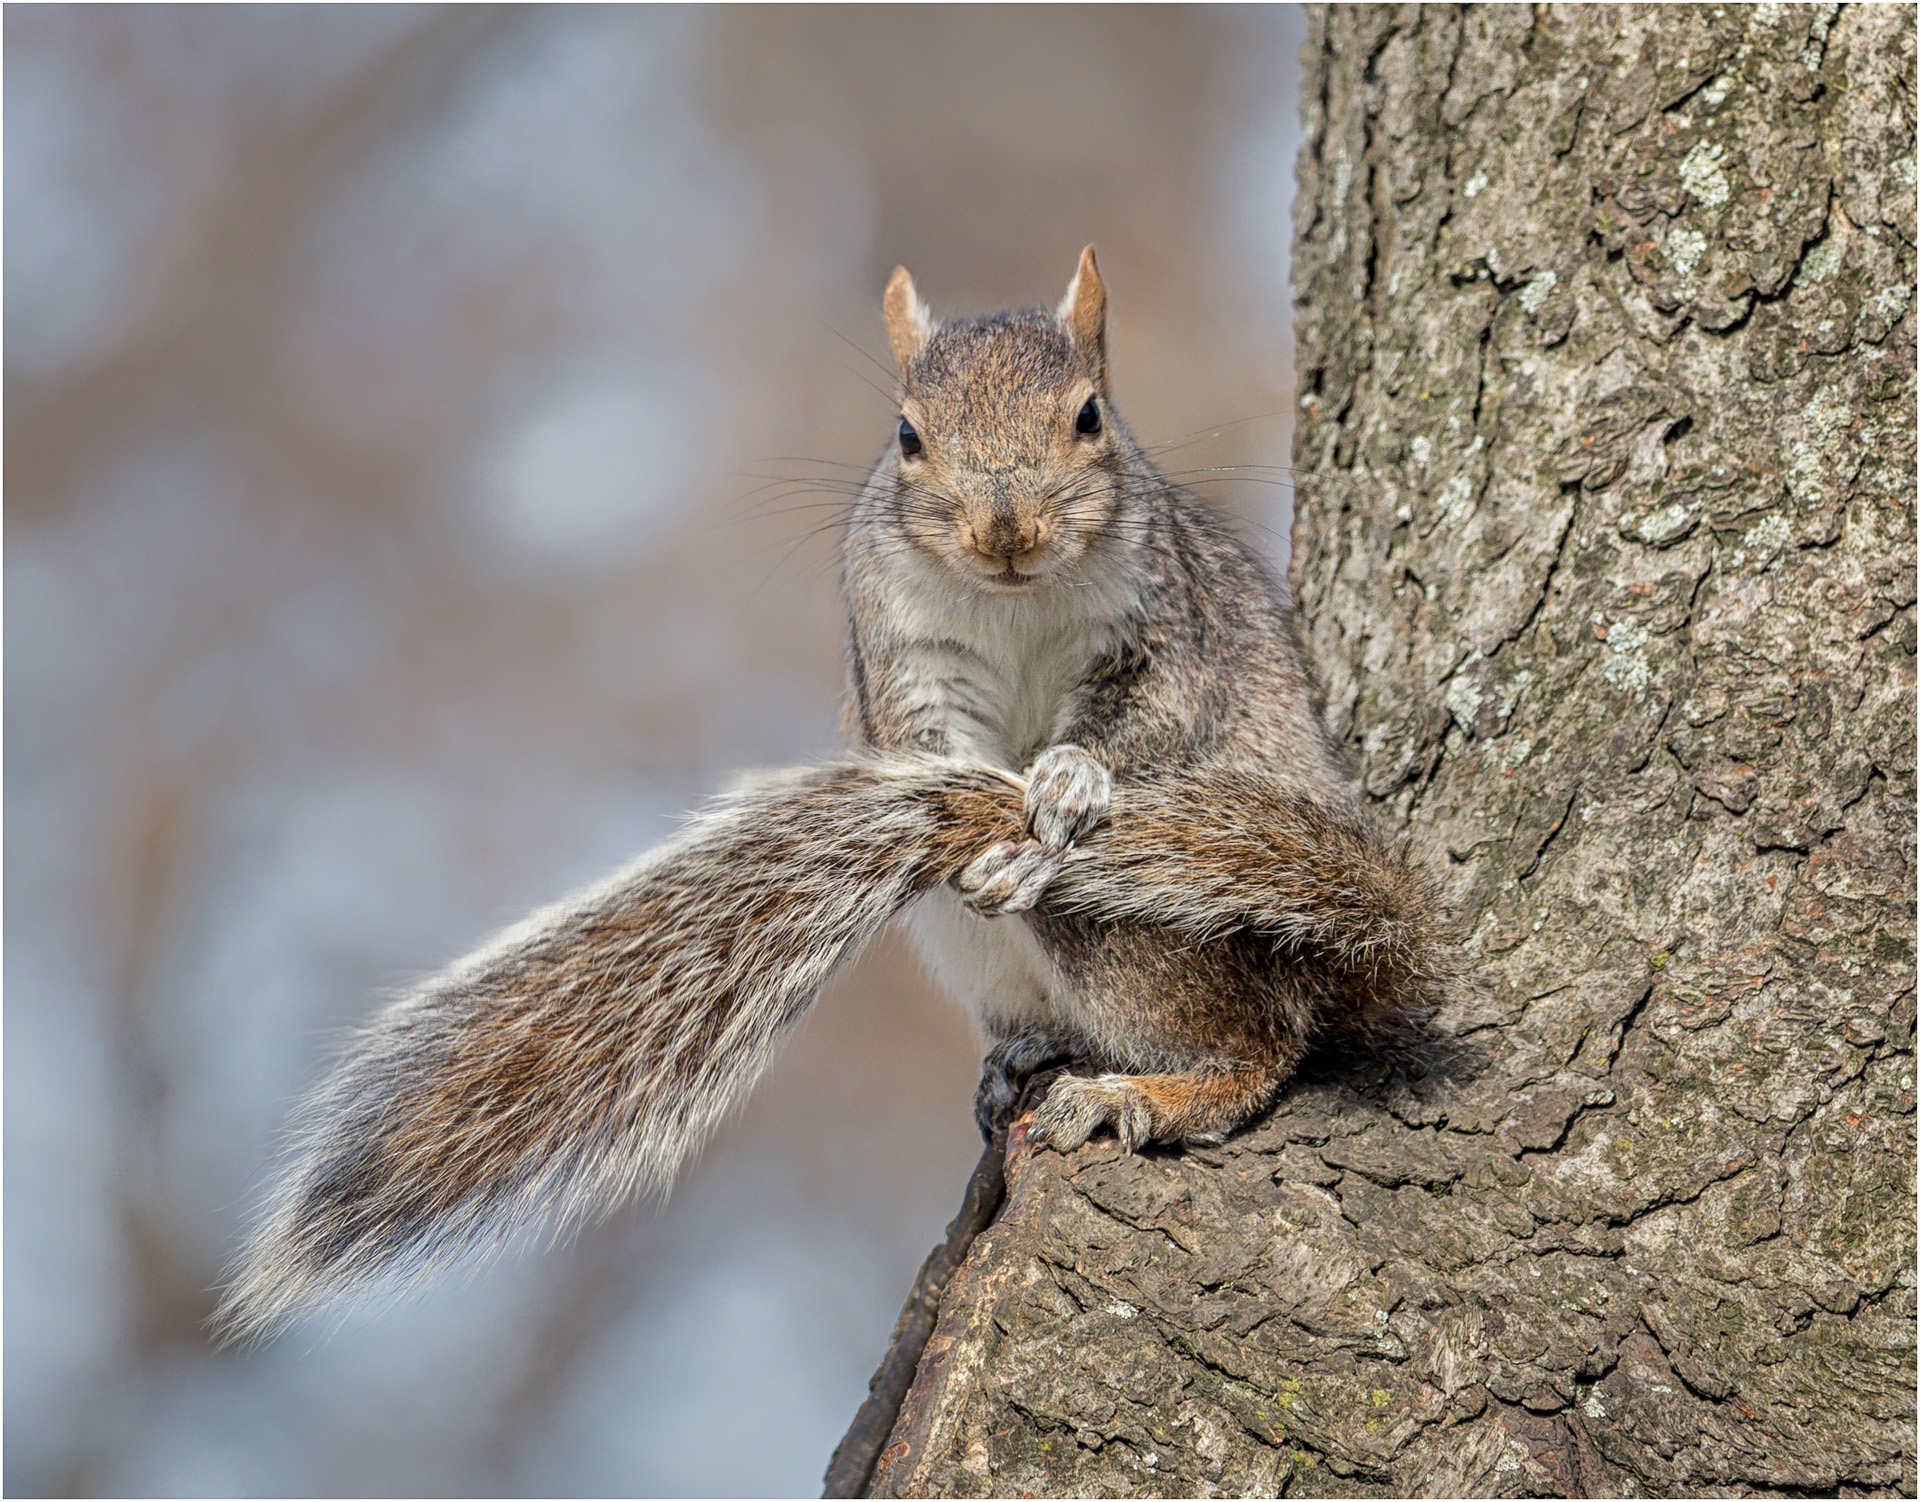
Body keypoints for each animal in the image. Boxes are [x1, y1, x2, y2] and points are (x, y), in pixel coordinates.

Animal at [214, 249, 1443, 1352]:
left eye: (1091, 417)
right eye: (907, 435)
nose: (1004, 531)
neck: (1013, 600)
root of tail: (1356, 957)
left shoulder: (1163, 624)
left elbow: (1151, 719)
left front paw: (1066, 779)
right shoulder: (900, 641)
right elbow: (922, 740)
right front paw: (973, 799)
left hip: (1162, 932)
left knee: (1260, 1045)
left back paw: (1149, 1085)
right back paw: (1030, 1046)